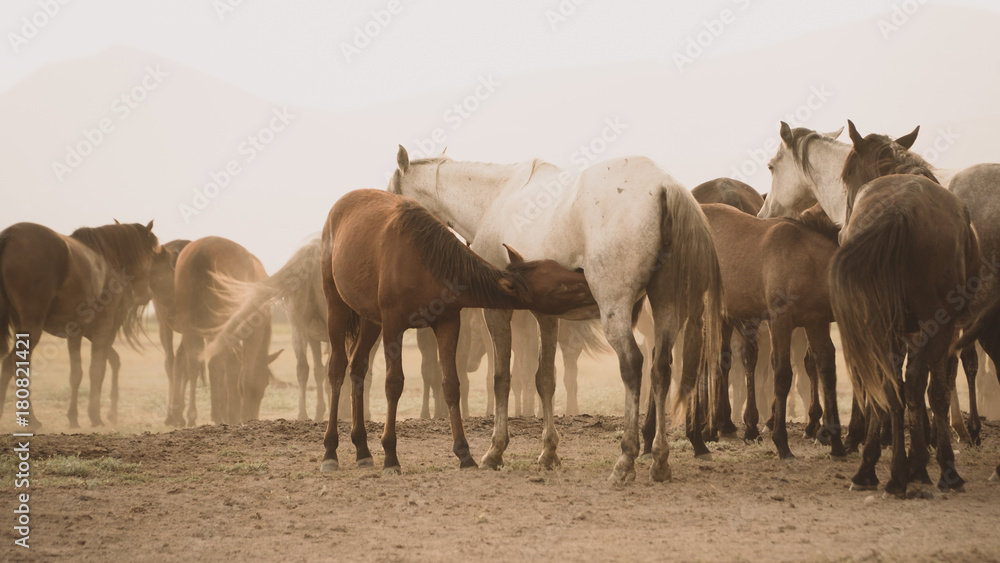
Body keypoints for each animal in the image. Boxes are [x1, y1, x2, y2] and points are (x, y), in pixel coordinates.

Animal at [0, 221, 160, 428]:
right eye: (151, 253)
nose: (145, 295)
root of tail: (9, 235)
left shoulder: (76, 332)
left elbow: (78, 373)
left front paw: (75, 417)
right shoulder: (102, 328)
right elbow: (96, 370)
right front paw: (95, 416)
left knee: (11, 364)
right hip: (32, 327)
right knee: (16, 364)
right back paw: (31, 419)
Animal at [171, 236, 281, 426]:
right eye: (265, 383)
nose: (254, 415)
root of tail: (203, 249)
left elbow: (223, 369)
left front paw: (225, 412)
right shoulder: (253, 335)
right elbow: (244, 374)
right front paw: (239, 414)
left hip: (192, 329)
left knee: (193, 365)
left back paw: (192, 416)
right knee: (222, 367)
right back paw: (224, 415)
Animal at [319, 189, 597, 473]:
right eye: (559, 286)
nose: (587, 279)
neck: (424, 262)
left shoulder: (448, 323)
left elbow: (451, 384)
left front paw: (464, 453)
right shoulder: (393, 325)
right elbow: (394, 384)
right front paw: (391, 455)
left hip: (370, 320)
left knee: (358, 368)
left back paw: (362, 448)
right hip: (336, 306)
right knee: (337, 369)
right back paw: (330, 451)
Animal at [389, 147, 724, 484]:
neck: (495, 197)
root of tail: (664, 186)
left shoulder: (496, 312)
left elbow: (501, 378)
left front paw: (496, 450)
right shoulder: (546, 316)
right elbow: (545, 378)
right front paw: (549, 452)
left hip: (615, 311)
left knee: (632, 366)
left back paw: (626, 459)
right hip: (667, 309)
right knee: (661, 370)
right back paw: (660, 460)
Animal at [831, 120, 981, 495]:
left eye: (847, 174)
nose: (840, 232)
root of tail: (899, 209)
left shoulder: (903, 331)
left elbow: (903, 390)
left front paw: (910, 460)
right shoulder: (938, 331)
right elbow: (931, 388)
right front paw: (925, 460)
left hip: (885, 323)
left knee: (892, 386)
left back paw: (876, 470)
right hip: (937, 323)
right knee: (924, 386)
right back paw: (936, 469)